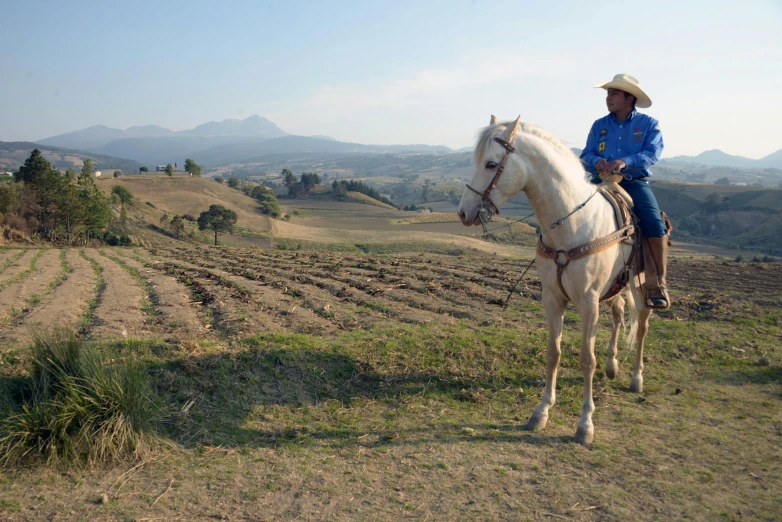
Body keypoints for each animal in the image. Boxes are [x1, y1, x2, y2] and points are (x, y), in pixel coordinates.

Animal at [456, 115, 652, 442]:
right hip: (616, 287)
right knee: (618, 313)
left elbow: (587, 359)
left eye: (491, 164)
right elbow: (553, 353)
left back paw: (637, 377)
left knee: (642, 323)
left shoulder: (588, 301)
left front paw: (585, 424)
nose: (463, 212)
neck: (571, 223)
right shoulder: (552, 298)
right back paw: (613, 365)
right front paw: (541, 411)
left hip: (642, 284)